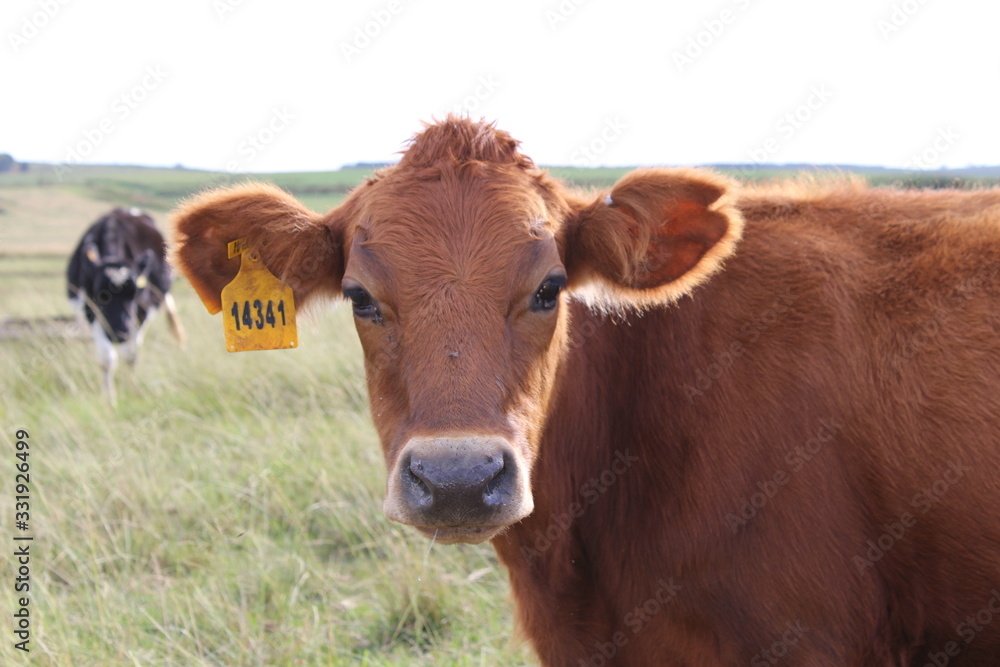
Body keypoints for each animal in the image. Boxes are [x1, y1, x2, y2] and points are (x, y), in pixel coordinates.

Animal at [67, 206, 184, 403]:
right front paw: (109, 398)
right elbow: (106, 360)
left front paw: (131, 389)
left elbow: (130, 355)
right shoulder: (90, 312)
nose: (120, 331)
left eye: (135, 293)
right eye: (101, 295)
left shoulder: (142, 312)